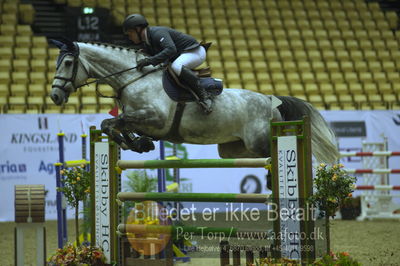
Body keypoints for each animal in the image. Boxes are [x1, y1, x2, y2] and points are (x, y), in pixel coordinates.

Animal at [48, 40, 340, 163]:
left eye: (69, 63)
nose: (55, 96)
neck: (132, 77)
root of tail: (272, 99)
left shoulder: (154, 119)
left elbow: (113, 122)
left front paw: (136, 143)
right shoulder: (139, 120)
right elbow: (113, 124)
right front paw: (139, 144)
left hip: (259, 142)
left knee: (277, 151)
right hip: (233, 149)